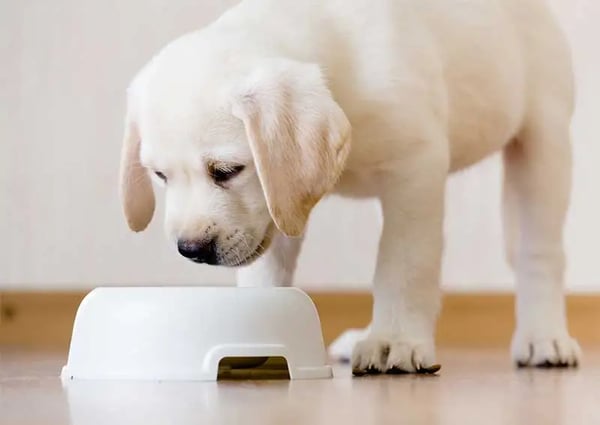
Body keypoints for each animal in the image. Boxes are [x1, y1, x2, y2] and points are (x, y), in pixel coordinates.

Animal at [118, 0, 580, 372]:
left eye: (228, 170)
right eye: (160, 176)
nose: (192, 249)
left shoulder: (416, 170)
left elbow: (402, 264)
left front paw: (395, 340)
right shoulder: (280, 200)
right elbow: (267, 271)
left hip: (543, 144)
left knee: (539, 253)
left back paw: (543, 337)